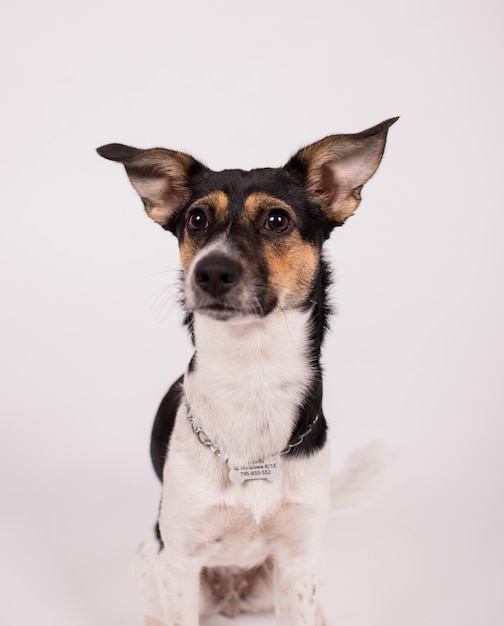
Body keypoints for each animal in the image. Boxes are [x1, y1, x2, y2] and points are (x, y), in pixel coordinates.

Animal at [98, 118, 398, 624]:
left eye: (276, 220)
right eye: (197, 219)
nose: (211, 272)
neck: (251, 374)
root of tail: (232, 596)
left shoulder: (296, 563)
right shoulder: (178, 562)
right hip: (153, 561)